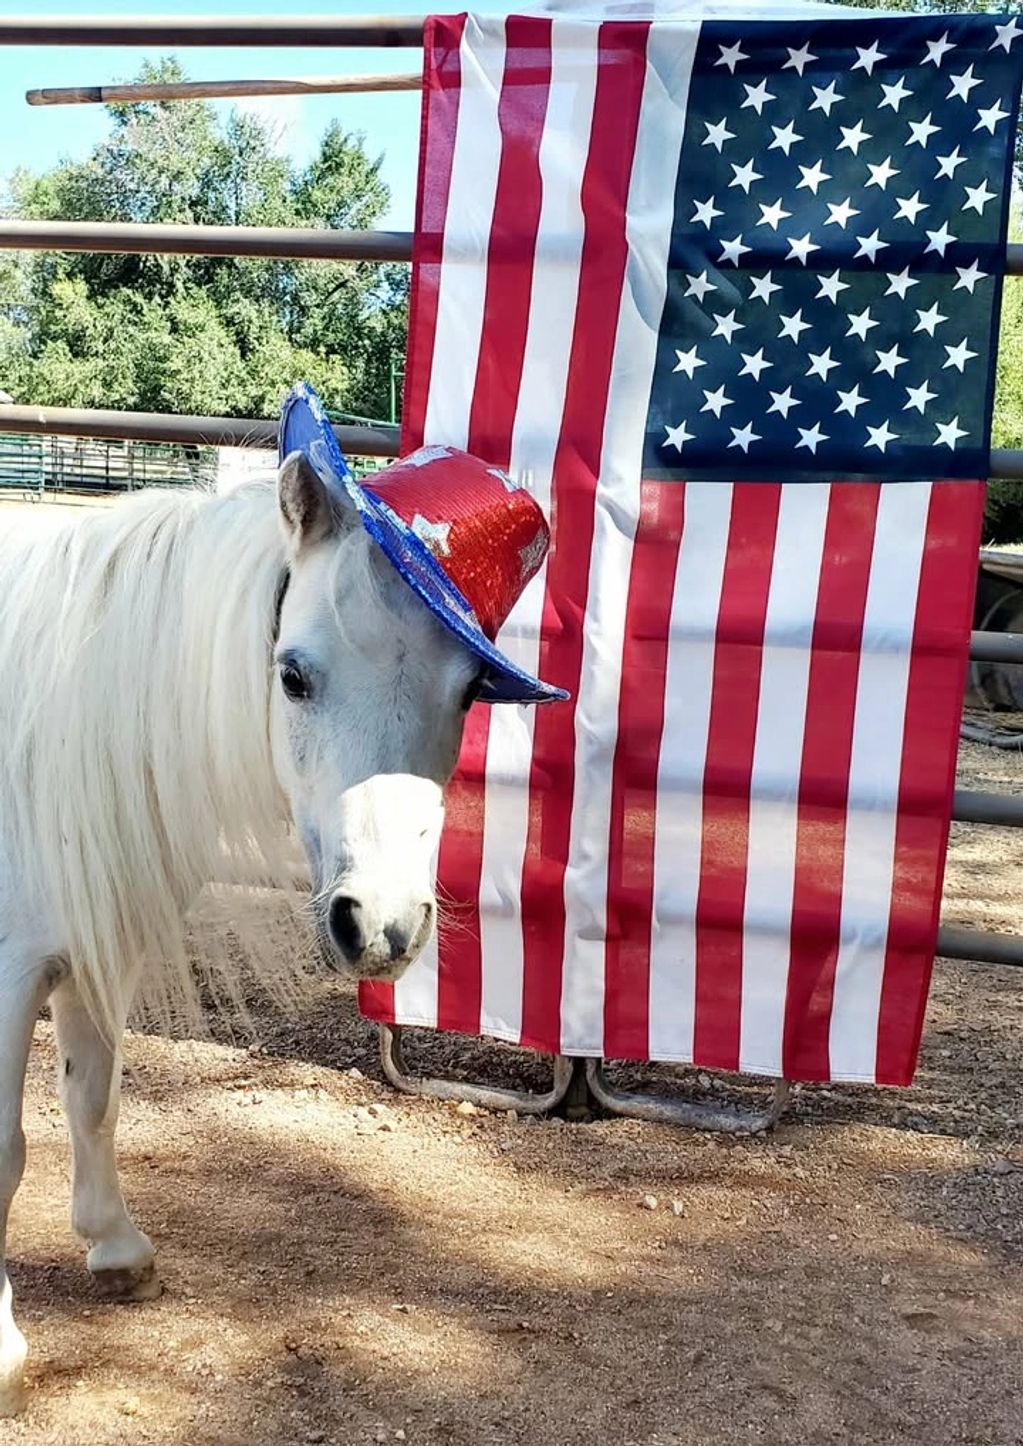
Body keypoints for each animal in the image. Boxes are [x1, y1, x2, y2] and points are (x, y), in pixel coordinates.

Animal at [0, 449, 488, 1416]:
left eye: (470, 690)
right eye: (291, 674)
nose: (379, 925)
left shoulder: (91, 944)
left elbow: (92, 1097)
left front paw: (117, 1249)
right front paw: (2, 1349)